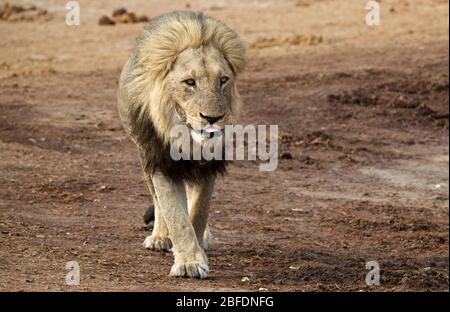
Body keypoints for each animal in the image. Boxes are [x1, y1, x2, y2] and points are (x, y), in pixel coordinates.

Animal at [117, 11, 246, 278]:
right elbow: (176, 214)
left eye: (223, 80)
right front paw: (189, 263)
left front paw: (197, 252)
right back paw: (160, 237)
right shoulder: (160, 162)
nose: (212, 118)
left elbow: (198, 212)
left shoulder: (208, 167)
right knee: (158, 201)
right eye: (189, 82)